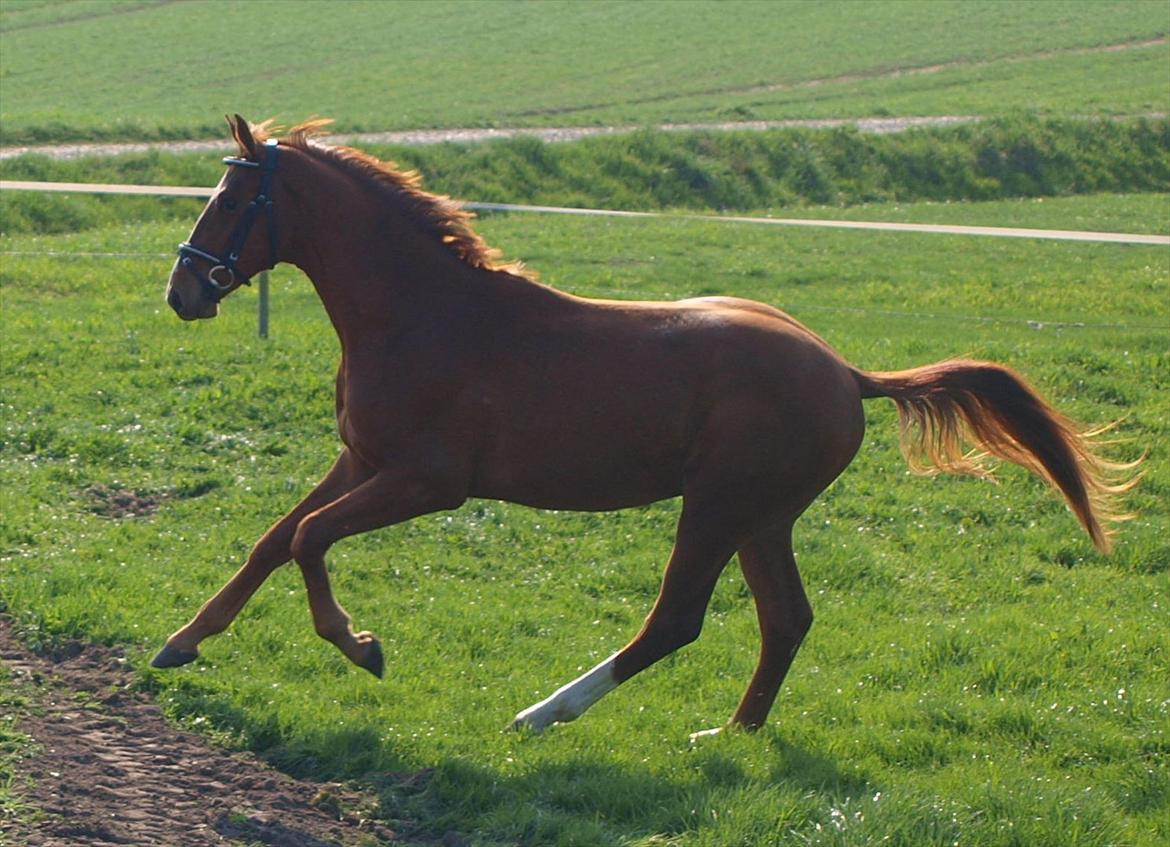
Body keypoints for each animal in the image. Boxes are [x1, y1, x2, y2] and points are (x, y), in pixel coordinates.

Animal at [155, 115, 1132, 739]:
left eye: (232, 200)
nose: (184, 289)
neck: (422, 314)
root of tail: (847, 374)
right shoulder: (362, 459)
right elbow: (273, 539)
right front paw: (182, 642)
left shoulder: (427, 482)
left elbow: (310, 540)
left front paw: (362, 647)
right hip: (763, 517)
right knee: (786, 618)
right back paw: (731, 733)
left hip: (719, 506)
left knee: (677, 620)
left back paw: (541, 714)